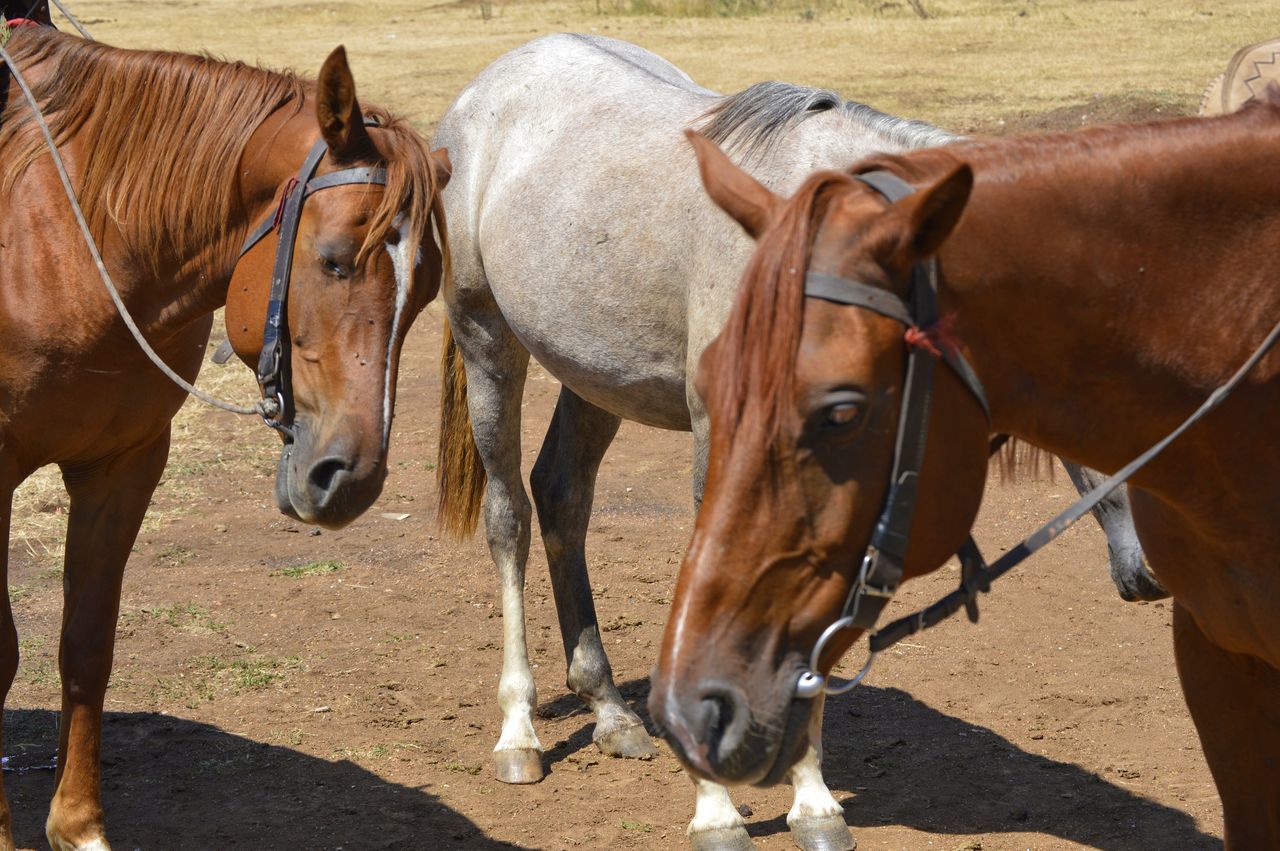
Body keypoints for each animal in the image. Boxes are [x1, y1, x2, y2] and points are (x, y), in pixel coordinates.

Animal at [0, 26, 450, 849]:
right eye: (334, 260)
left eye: (426, 289)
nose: (352, 477)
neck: (58, 233)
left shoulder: (126, 463)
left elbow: (87, 643)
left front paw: (78, 826)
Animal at [432, 29, 1162, 844]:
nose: (1158, 571)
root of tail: (493, 82)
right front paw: (717, 809)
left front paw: (812, 799)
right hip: (488, 341)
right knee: (510, 518)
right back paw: (519, 734)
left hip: (594, 377)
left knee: (563, 496)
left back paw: (612, 713)